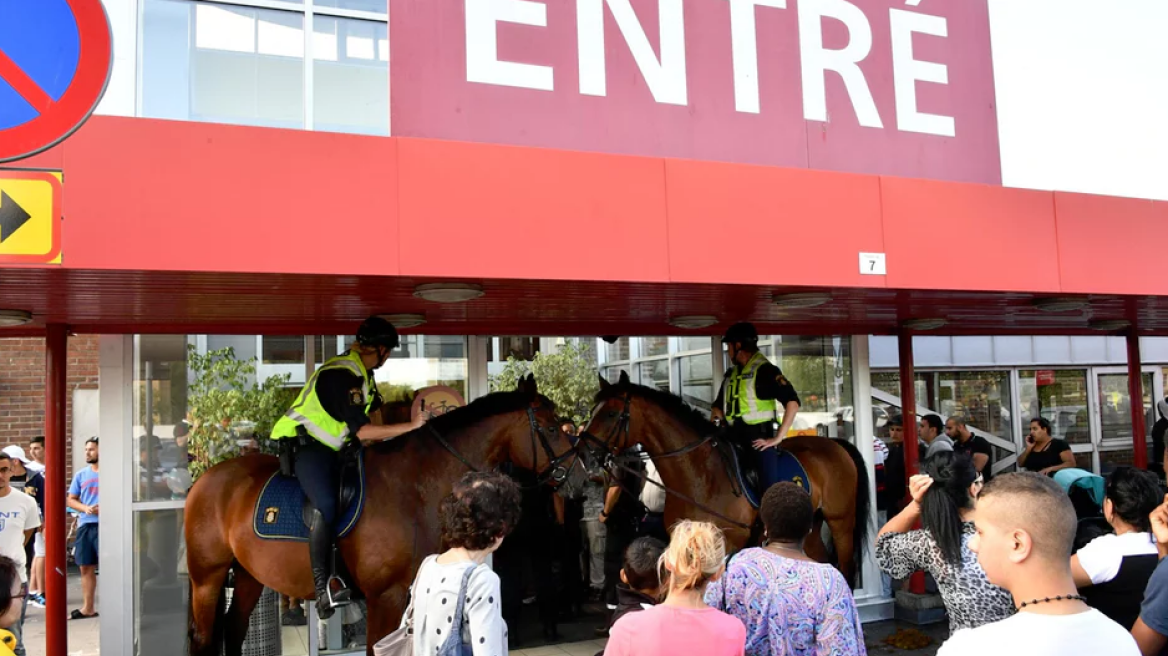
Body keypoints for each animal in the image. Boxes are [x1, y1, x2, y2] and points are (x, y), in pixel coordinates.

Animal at [185, 373, 584, 653]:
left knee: (233, 632)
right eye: (552, 428)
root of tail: (205, 478)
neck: (415, 483)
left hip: (248, 576)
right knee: (204, 640)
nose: (581, 475)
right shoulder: (384, 597)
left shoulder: (407, 595)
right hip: (207, 579)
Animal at [584, 373, 868, 581]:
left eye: (610, 413)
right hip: (811, 527)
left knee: (845, 567)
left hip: (841, 522)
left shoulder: (726, 546)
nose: (582, 450)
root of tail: (835, 443)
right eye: (591, 410)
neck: (700, 476)